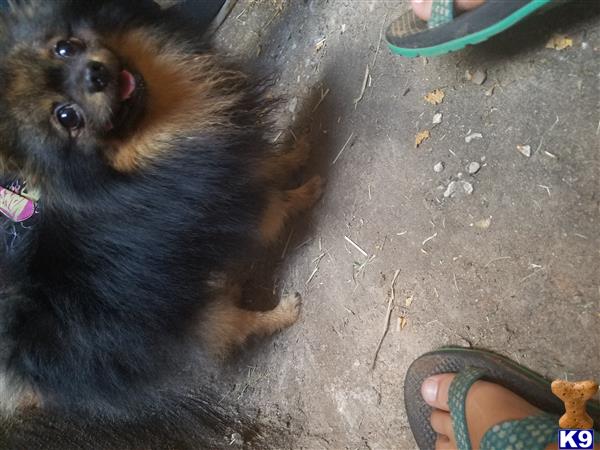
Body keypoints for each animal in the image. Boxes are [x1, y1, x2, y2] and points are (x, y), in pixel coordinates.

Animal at [0, 0, 324, 446]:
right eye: (67, 117)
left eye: (65, 47)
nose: (95, 74)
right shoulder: (230, 205)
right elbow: (279, 201)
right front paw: (308, 189)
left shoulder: (229, 159)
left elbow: (271, 161)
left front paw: (298, 151)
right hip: (181, 327)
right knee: (234, 326)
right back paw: (281, 311)